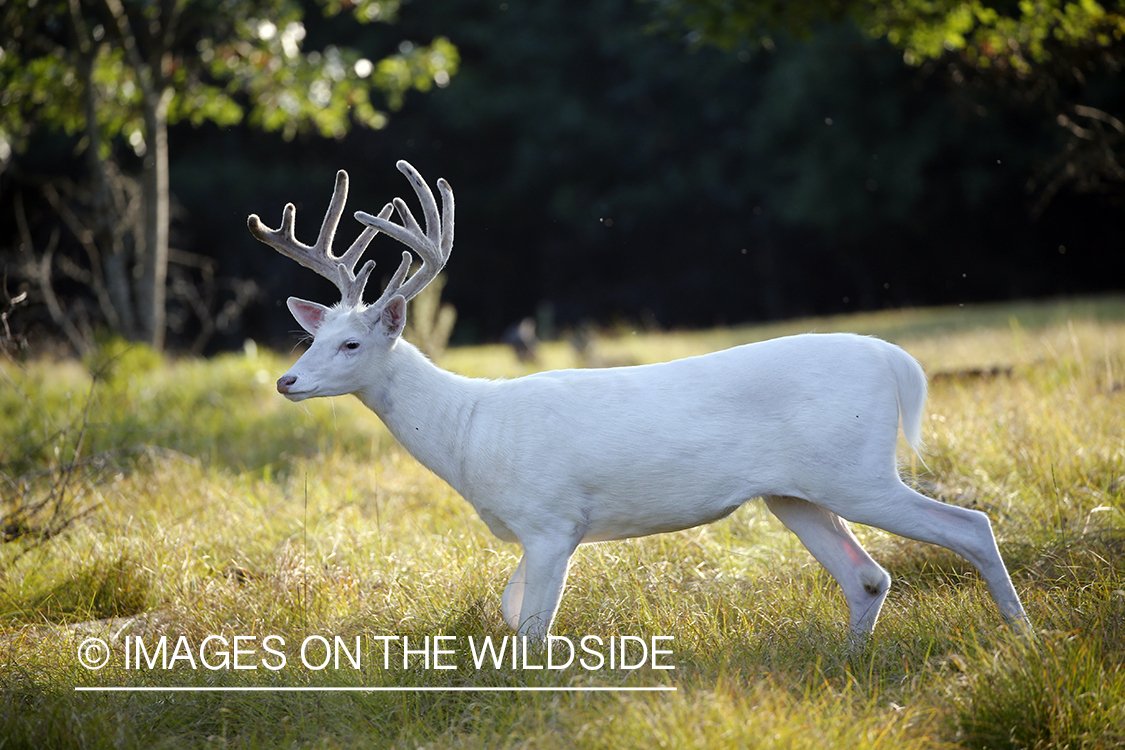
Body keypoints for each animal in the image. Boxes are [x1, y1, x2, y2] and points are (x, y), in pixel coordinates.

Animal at [250, 161, 1030, 643]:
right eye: (310, 337)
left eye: (351, 344)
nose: (287, 383)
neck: (469, 432)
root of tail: (894, 359)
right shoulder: (535, 529)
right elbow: (509, 609)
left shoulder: (551, 518)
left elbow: (532, 628)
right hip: (797, 493)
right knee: (867, 576)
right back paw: (850, 660)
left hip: (856, 469)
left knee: (969, 526)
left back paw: (1021, 635)